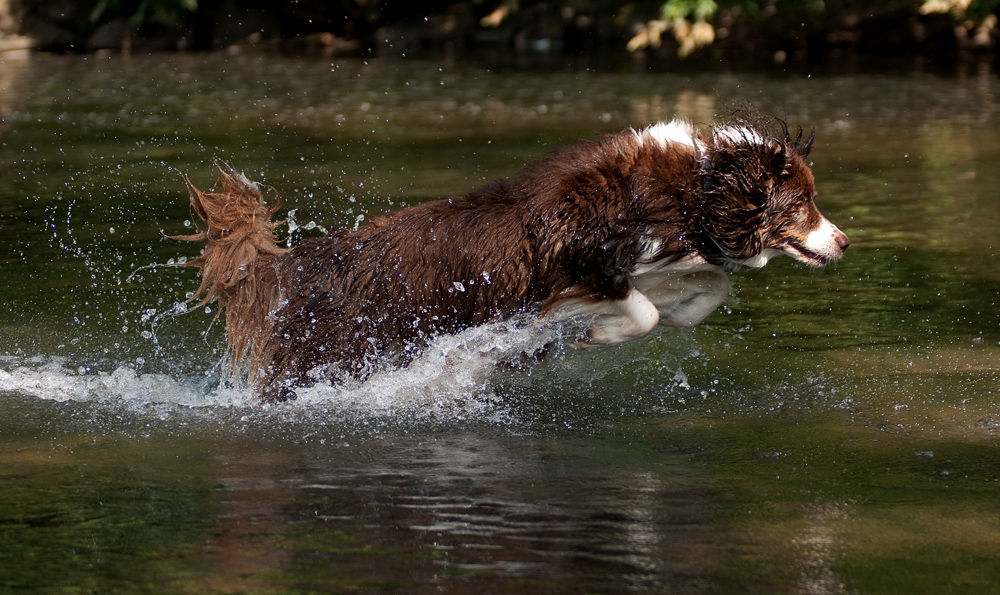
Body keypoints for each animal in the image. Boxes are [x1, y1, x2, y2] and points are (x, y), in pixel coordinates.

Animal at [176, 114, 848, 402]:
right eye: (802, 204)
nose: (844, 241)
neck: (698, 187)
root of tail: (294, 262)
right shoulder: (580, 263)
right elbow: (643, 311)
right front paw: (593, 337)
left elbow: (707, 289)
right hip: (327, 357)